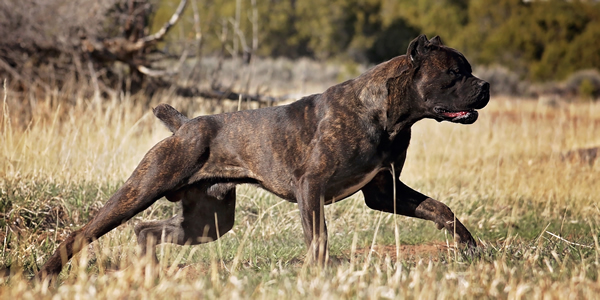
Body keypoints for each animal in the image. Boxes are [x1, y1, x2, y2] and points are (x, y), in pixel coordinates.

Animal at [36, 34, 488, 278]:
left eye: (467, 70)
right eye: (455, 73)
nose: (484, 86)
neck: (387, 115)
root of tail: (184, 125)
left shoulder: (384, 190)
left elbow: (442, 209)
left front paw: (471, 248)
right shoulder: (312, 187)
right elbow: (318, 236)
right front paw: (321, 273)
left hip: (208, 221)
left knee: (146, 230)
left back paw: (149, 270)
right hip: (142, 189)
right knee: (84, 232)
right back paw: (45, 274)